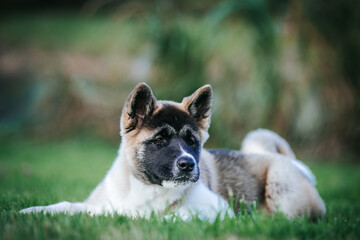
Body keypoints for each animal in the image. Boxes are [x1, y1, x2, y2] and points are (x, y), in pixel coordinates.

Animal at [19, 83, 326, 221]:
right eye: (160, 140)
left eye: (193, 142)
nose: (188, 164)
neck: (146, 187)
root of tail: (290, 162)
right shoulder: (102, 204)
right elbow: (68, 206)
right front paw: (33, 212)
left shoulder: (217, 211)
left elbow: (174, 216)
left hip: (280, 189)